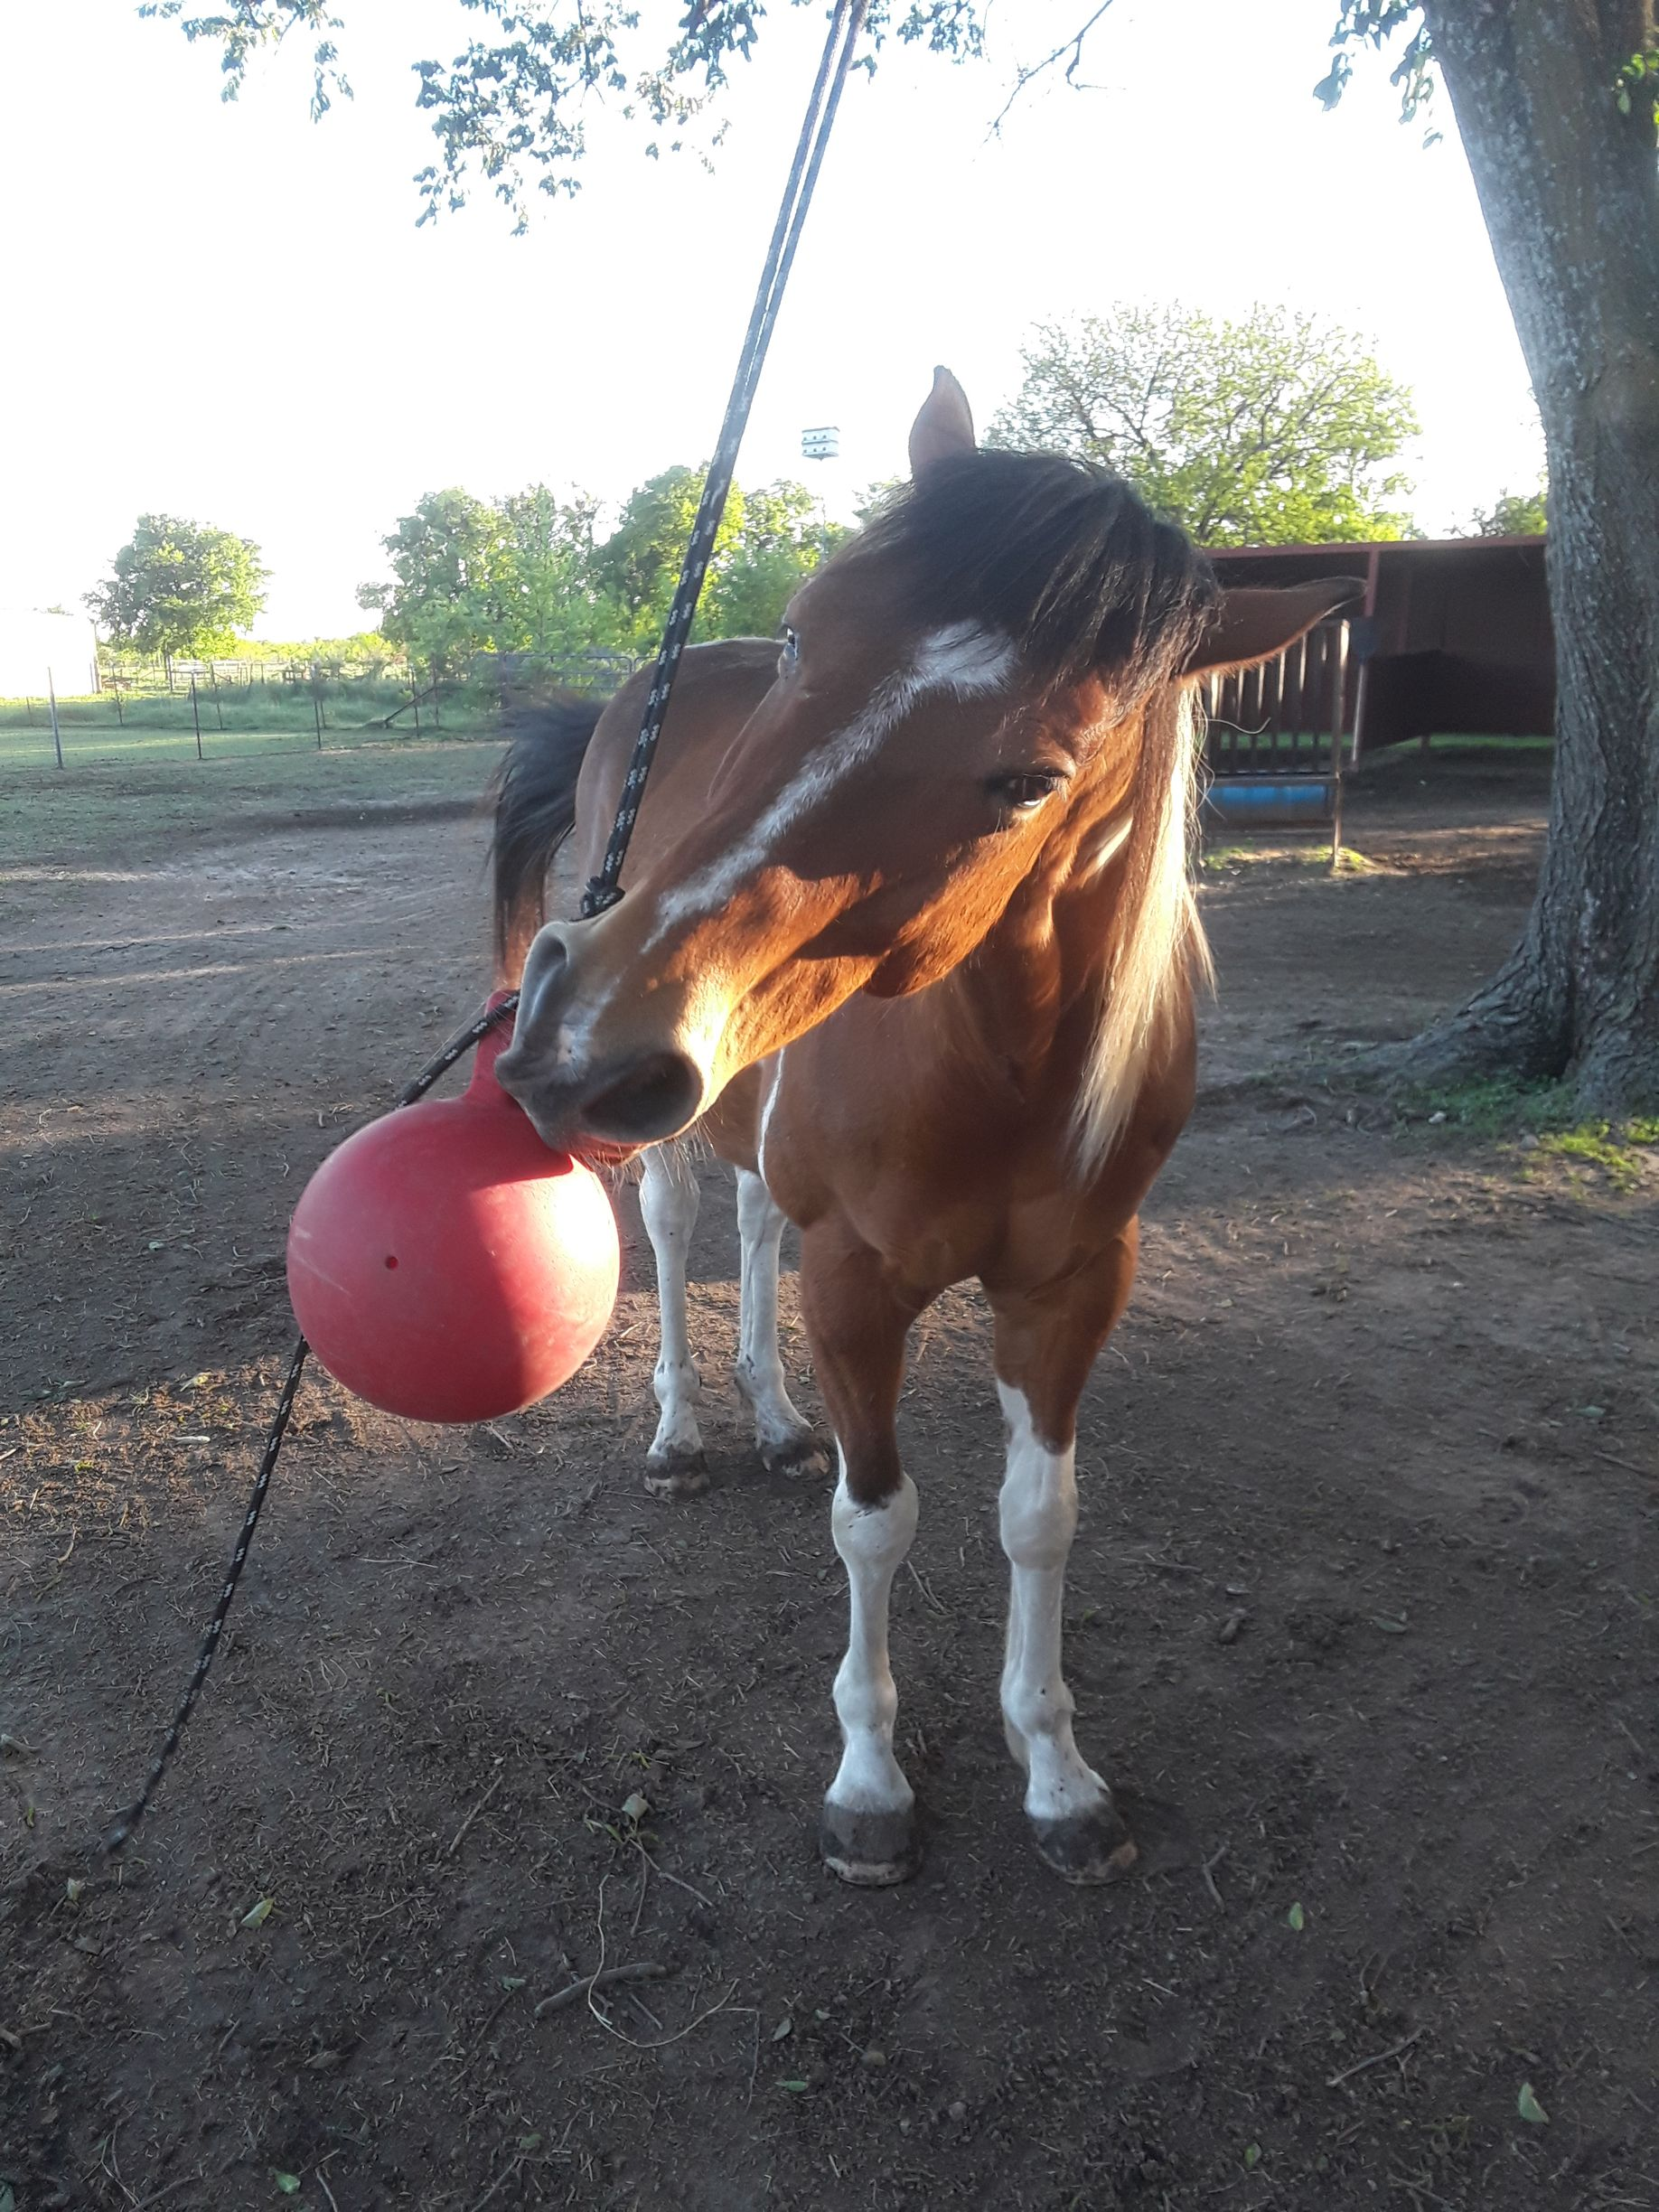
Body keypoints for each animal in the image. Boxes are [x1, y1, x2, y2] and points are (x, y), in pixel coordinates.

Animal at [490, 368, 1355, 1887]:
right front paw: (870, 1781)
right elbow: (876, 1518)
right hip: (670, 1121)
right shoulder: (857, 1281)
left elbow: (1039, 1518)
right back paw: (682, 1436)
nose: (587, 1020)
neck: (1000, 1062)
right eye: (801, 633)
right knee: (675, 1226)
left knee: (750, 1217)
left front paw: (1058, 1774)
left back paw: (775, 1420)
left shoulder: (1075, 1285)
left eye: (1031, 779)